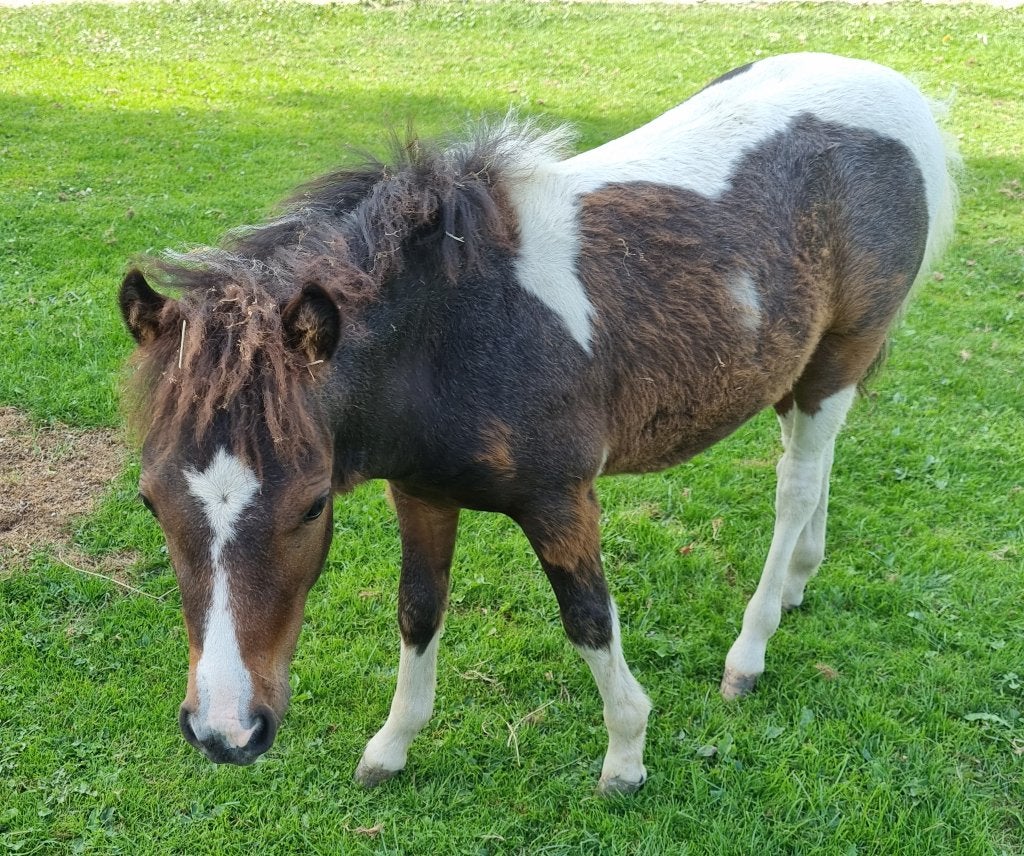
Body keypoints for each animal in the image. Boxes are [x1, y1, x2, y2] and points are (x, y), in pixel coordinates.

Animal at [118, 52, 956, 795]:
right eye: (151, 502)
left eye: (311, 504)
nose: (227, 732)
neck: (452, 333)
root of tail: (903, 94)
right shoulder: (420, 492)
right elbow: (418, 609)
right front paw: (391, 747)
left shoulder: (561, 499)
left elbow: (587, 618)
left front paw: (626, 757)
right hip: (799, 369)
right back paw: (798, 583)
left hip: (840, 356)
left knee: (795, 485)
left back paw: (750, 649)